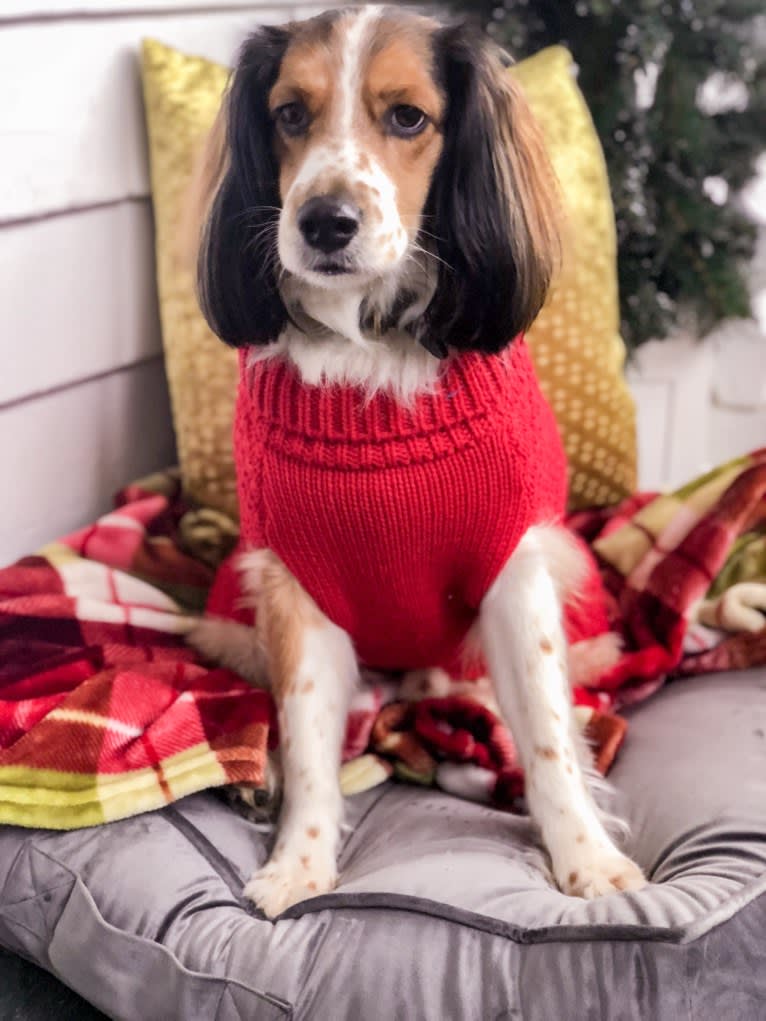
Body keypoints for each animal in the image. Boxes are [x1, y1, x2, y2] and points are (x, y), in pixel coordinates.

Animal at [188, 5, 645, 918]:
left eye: (408, 117)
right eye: (288, 113)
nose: (324, 221)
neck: (372, 356)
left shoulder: (517, 572)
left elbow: (548, 736)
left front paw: (586, 856)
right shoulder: (294, 584)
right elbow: (310, 737)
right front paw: (300, 858)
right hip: (233, 608)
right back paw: (256, 769)